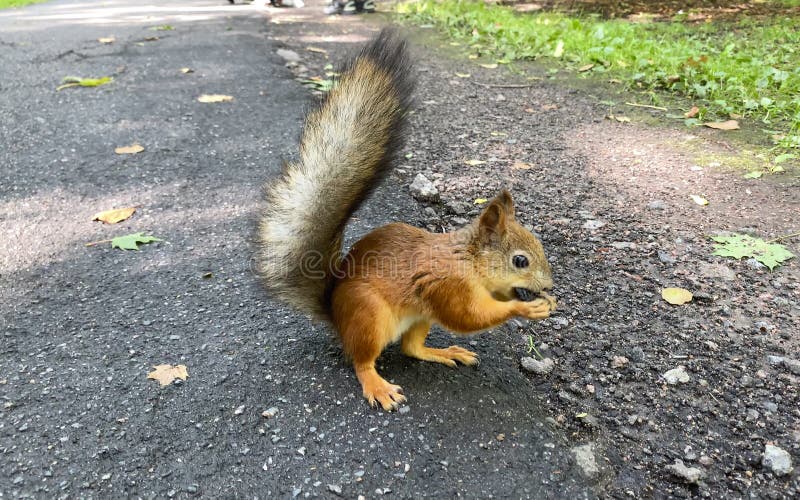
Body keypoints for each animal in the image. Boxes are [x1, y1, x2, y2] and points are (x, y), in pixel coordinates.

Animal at [258, 28, 557, 411]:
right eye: (520, 260)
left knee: (412, 348)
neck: (468, 260)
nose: (550, 287)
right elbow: (468, 316)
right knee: (362, 360)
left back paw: (443, 352)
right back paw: (376, 384)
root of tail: (336, 317)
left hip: (419, 318)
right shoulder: (446, 285)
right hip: (369, 316)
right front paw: (526, 308)